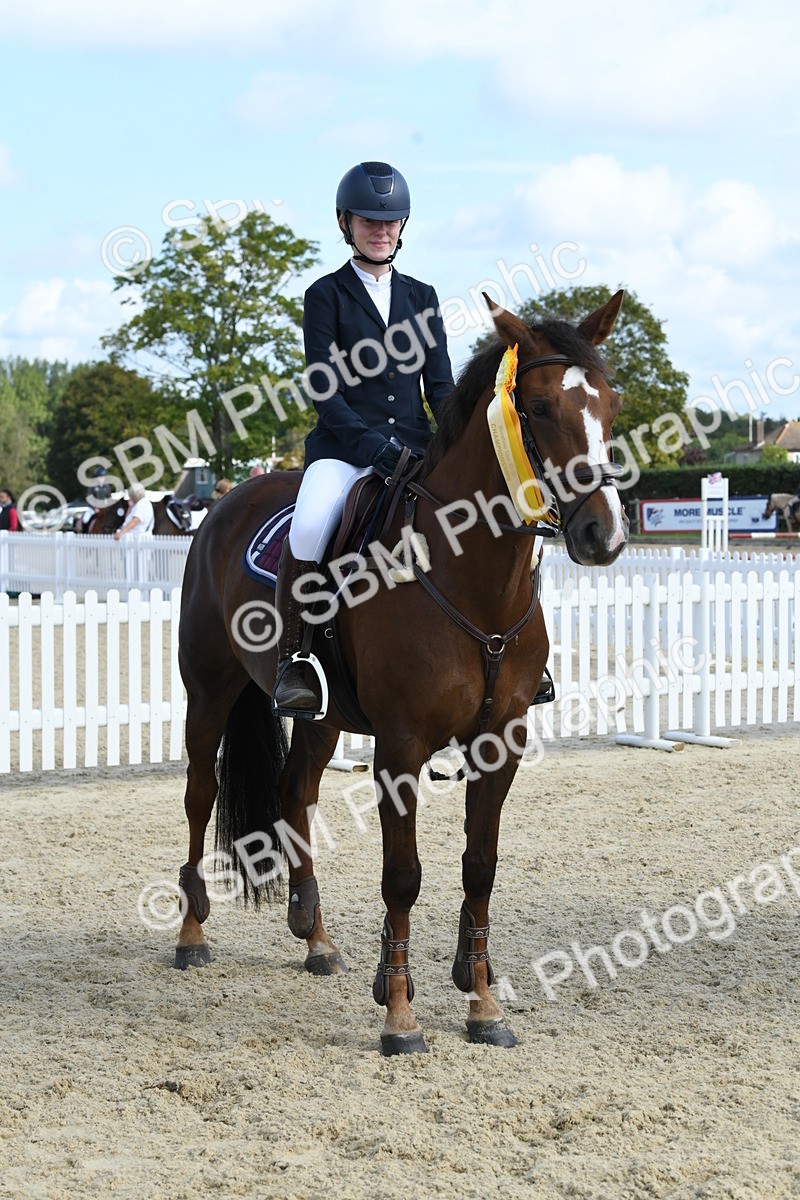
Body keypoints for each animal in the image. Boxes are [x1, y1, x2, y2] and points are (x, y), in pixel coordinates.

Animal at [174, 291, 629, 1055]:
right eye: (537, 408)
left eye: (611, 404)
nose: (604, 535)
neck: (471, 575)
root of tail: (226, 503)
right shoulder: (402, 744)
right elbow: (403, 876)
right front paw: (399, 1014)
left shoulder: (500, 740)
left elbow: (480, 868)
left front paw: (482, 1003)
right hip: (209, 693)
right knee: (200, 794)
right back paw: (190, 934)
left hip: (321, 715)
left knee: (295, 793)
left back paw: (317, 940)